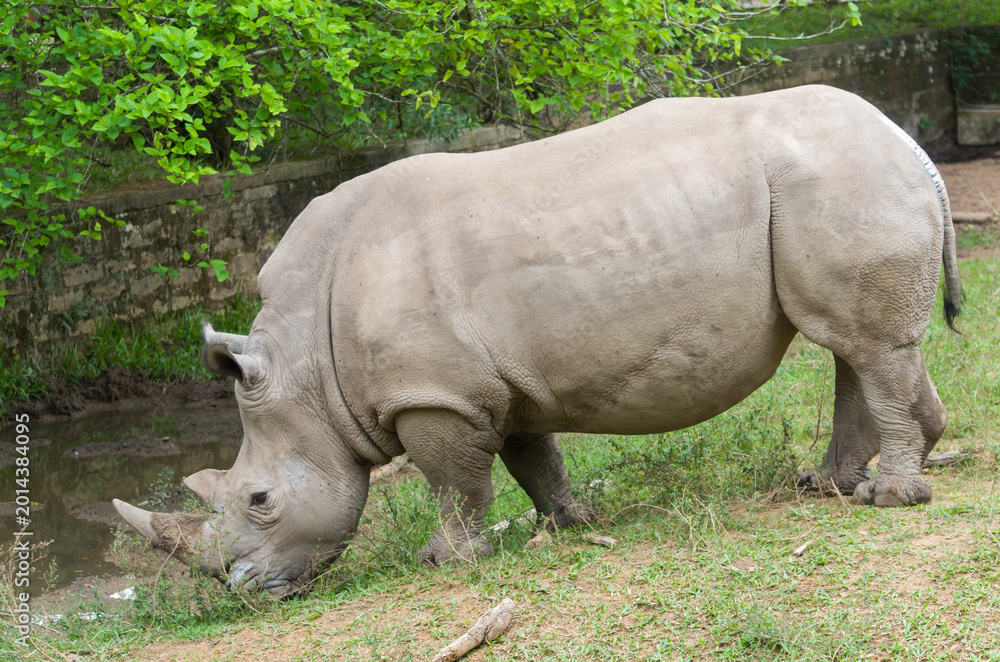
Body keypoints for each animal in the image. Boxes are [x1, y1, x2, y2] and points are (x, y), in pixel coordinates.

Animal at [114, 85, 962, 596]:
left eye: (259, 500)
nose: (241, 590)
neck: (305, 367)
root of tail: (910, 144)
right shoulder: (494, 384)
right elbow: (531, 455)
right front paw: (569, 524)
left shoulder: (437, 394)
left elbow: (453, 481)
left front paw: (446, 560)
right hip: (837, 182)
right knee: (854, 345)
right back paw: (833, 485)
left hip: (841, 179)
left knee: (865, 347)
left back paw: (888, 500)